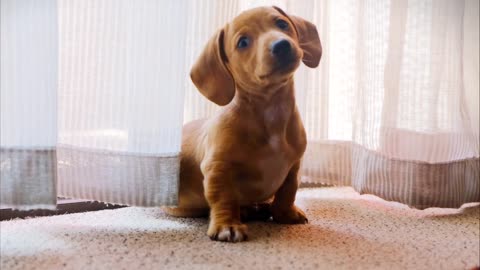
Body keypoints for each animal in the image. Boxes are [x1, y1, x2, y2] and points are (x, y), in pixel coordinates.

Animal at [163, 5, 320, 243]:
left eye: (282, 24)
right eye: (243, 42)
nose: (281, 45)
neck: (271, 111)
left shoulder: (294, 165)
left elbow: (288, 191)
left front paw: (285, 214)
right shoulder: (218, 168)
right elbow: (224, 198)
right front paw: (227, 225)